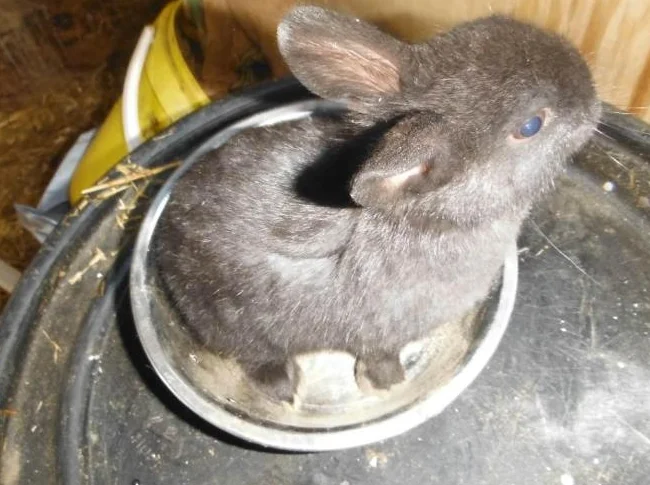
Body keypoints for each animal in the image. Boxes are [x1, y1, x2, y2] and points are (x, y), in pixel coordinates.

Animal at [153, 6, 601, 403]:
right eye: (531, 125)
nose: (593, 99)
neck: (435, 221)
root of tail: (164, 238)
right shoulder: (379, 337)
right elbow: (378, 358)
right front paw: (388, 383)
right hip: (235, 327)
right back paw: (283, 386)